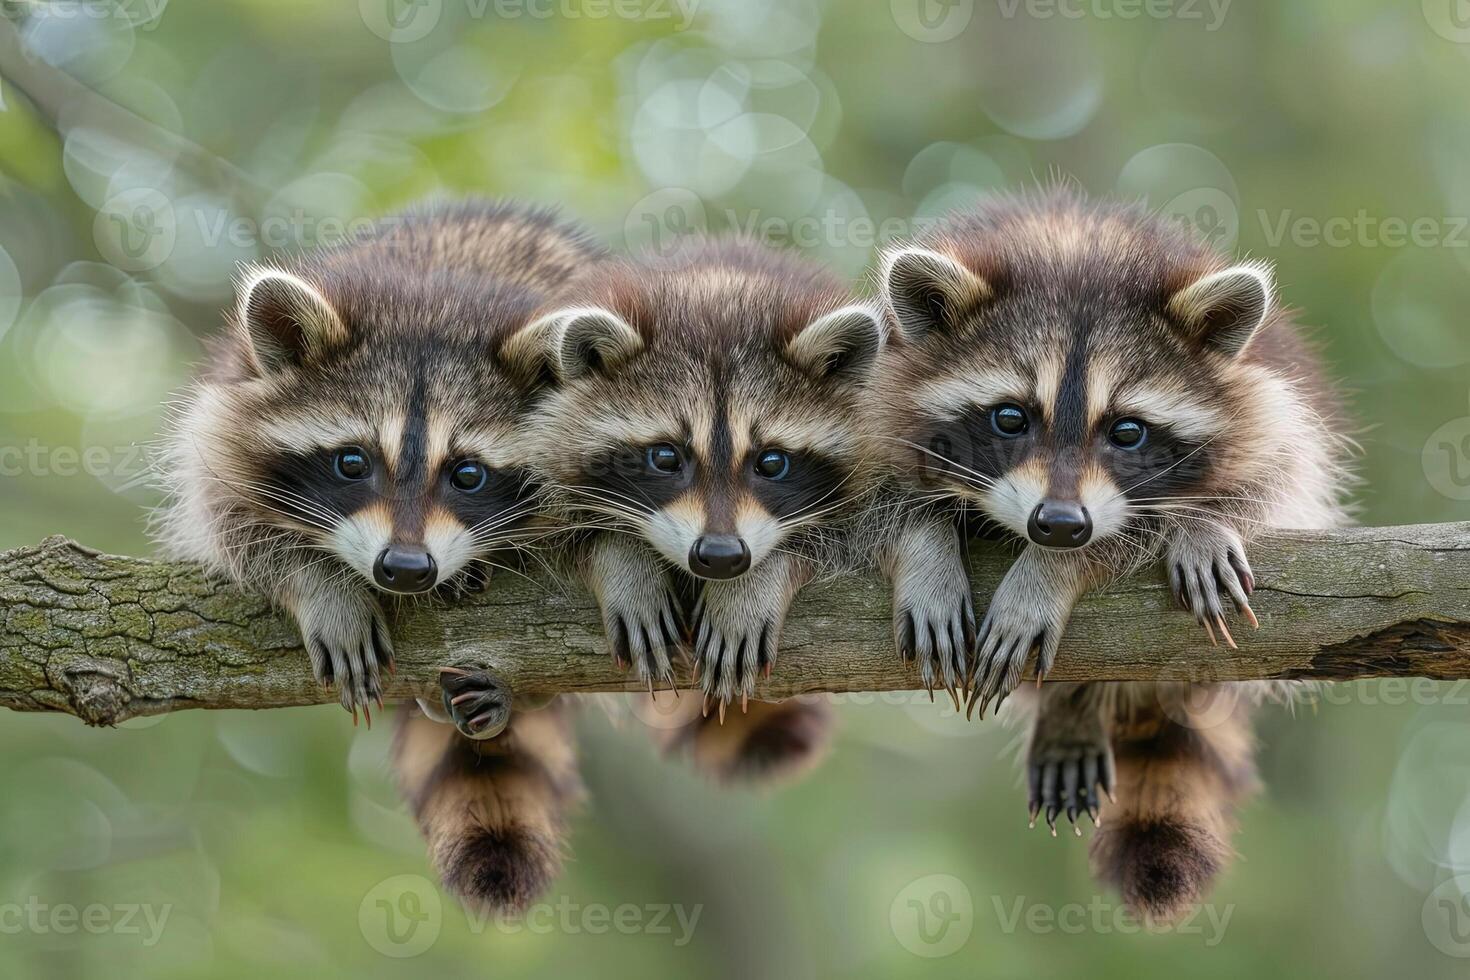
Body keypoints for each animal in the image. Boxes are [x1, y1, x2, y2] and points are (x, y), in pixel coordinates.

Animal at [150, 199, 602, 910]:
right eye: (352, 462)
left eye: (467, 474)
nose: (406, 568)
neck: (433, 296)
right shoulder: (224, 417)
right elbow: (231, 524)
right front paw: (318, 585)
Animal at [508, 238, 882, 728]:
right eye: (666, 457)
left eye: (771, 462)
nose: (721, 557)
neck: (715, 284)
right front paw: (625, 564)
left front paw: (750, 591)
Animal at [870, 189, 1352, 922]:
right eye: (1010, 418)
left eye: (1128, 431)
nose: (1061, 525)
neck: (1075, 252)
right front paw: (929, 553)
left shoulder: (1274, 406)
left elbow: (1269, 477)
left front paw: (1055, 573)